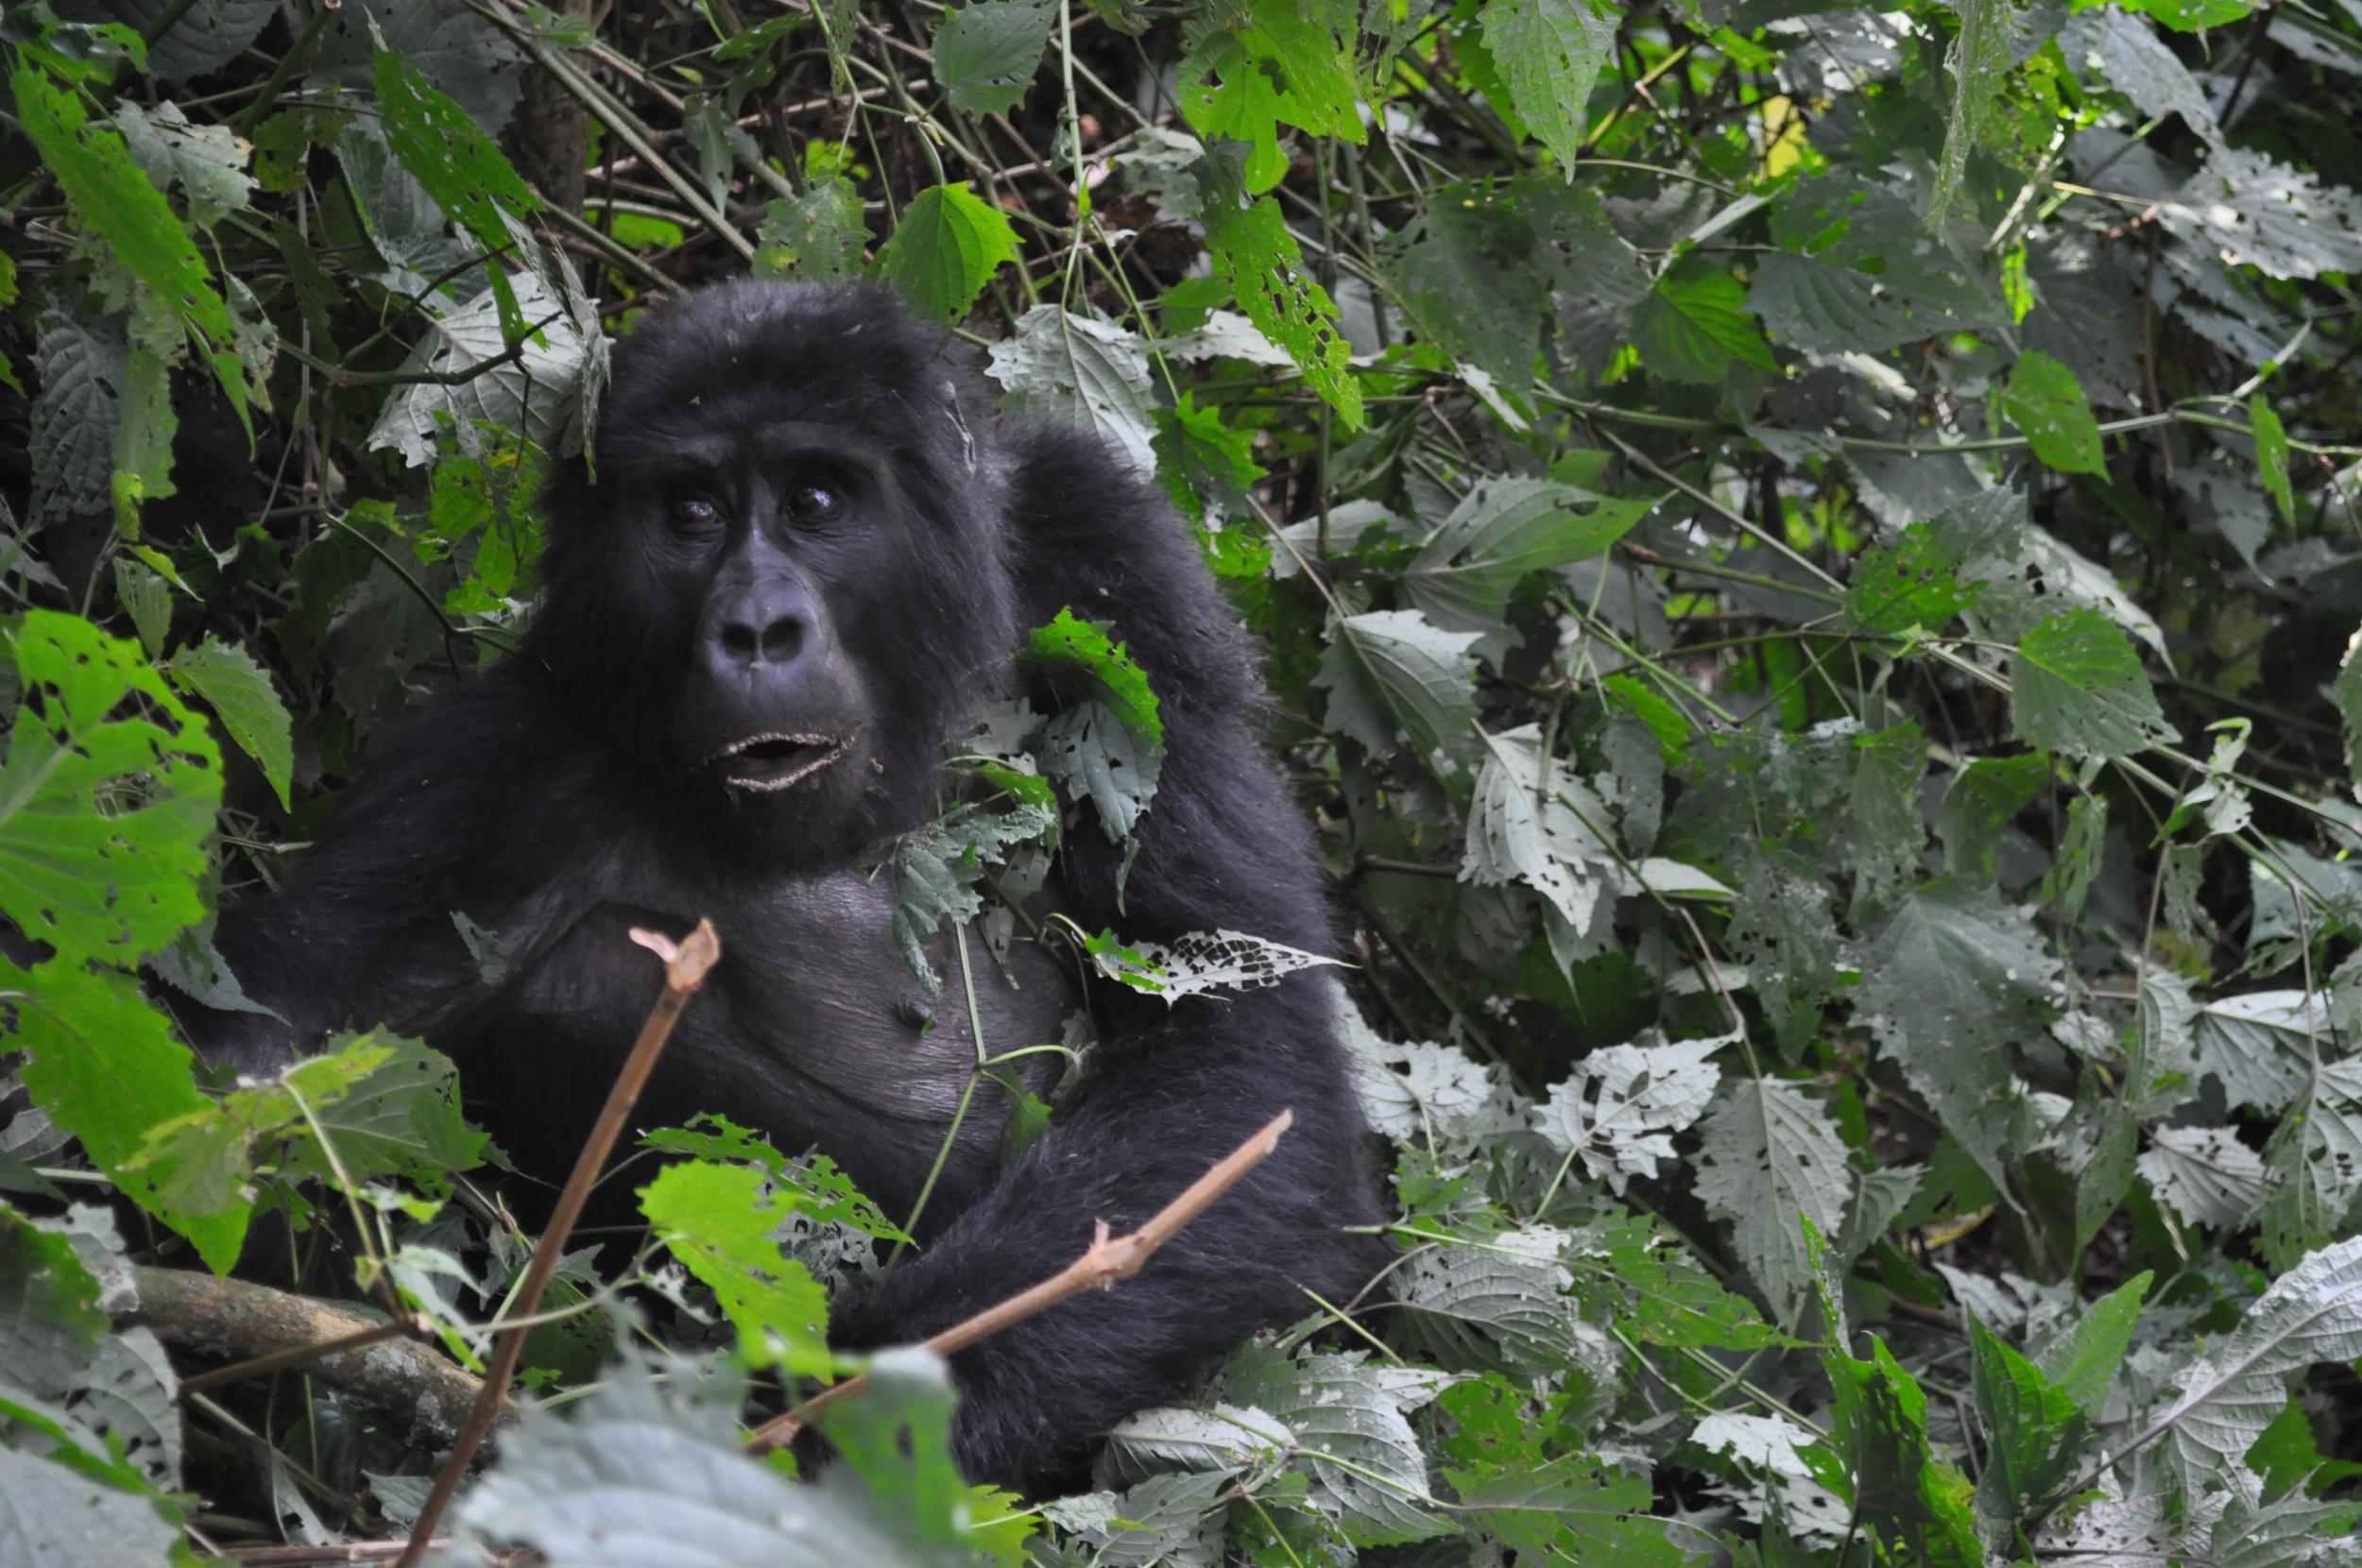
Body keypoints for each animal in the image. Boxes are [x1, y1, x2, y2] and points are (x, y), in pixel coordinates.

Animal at [198, 279, 1379, 1492]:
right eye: (690, 511)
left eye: (815, 497)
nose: (756, 629)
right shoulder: (505, 760)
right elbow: (267, 1040)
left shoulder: (1112, 566)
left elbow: (1240, 1064)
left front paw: (842, 1412)